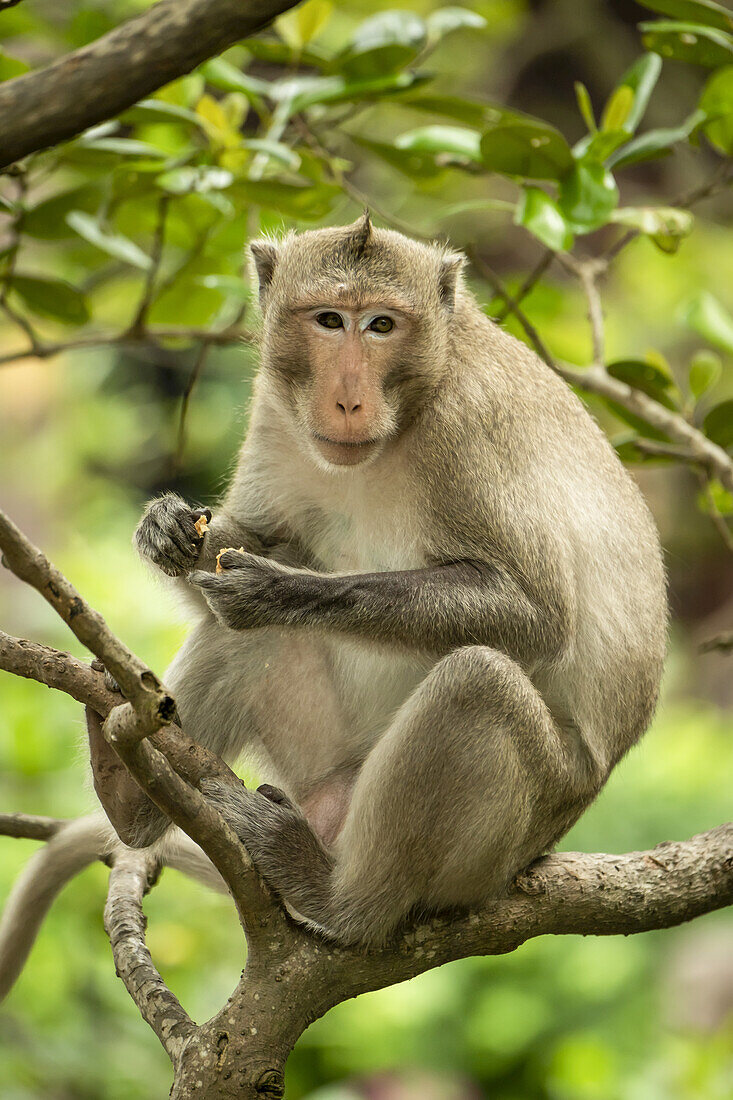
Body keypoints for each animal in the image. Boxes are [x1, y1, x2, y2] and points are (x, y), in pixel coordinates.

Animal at [0, 207, 664, 963]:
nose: (346, 398)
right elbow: (229, 559)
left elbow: (536, 614)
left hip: (516, 830)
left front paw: (279, 592)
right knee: (244, 641)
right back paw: (130, 794)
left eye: (380, 324)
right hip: (319, 760)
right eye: (327, 320)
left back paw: (340, 899)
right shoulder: (274, 405)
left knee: (478, 682)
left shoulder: (469, 428)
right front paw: (167, 531)